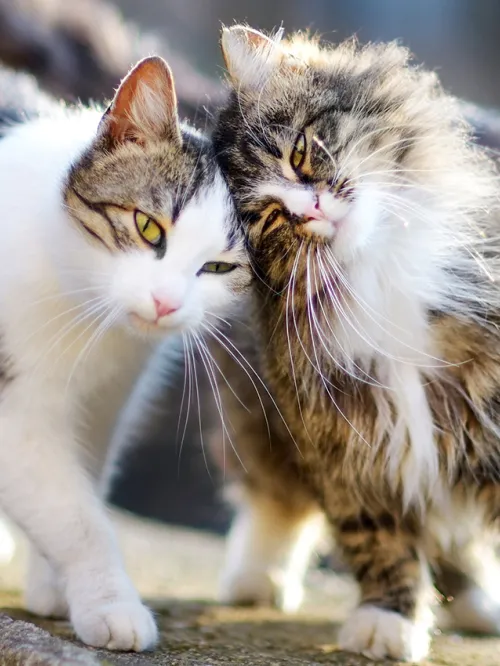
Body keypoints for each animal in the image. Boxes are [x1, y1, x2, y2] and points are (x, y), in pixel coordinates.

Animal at [0, 57, 250, 648]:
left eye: (219, 268)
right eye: (148, 226)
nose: (165, 302)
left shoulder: (105, 403)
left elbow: (82, 485)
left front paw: (56, 587)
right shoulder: (16, 416)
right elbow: (76, 516)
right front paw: (111, 605)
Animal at [211, 24, 500, 660]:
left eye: (298, 154)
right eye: (270, 218)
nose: (312, 208)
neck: (378, 273)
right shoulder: (344, 439)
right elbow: (379, 540)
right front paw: (388, 622)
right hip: (255, 414)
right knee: (274, 498)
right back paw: (256, 578)